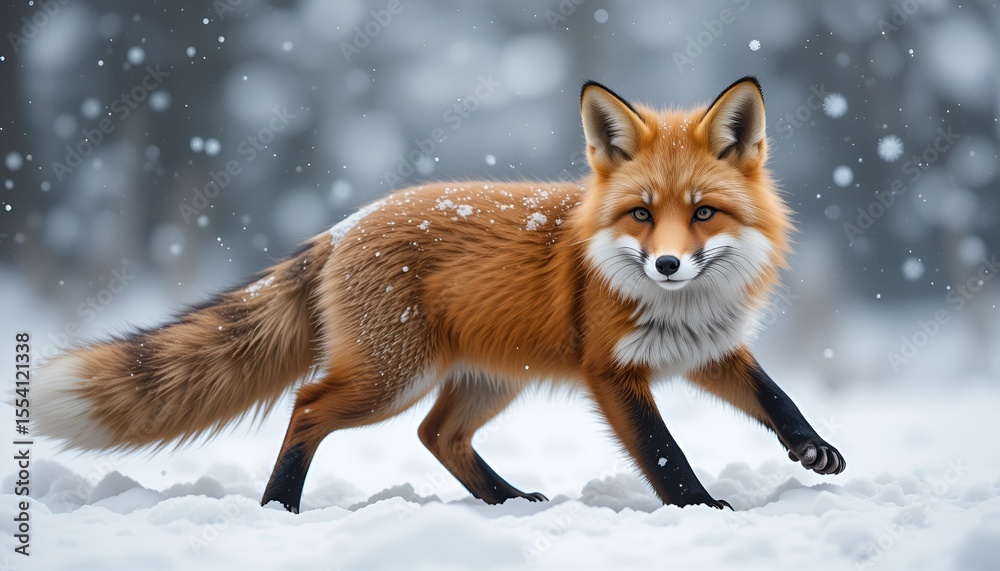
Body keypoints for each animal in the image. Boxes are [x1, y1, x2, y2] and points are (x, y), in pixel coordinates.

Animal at [33, 76, 844, 513]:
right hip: (391, 378)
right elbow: (663, 450)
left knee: (437, 435)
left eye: (703, 212)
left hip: (488, 379)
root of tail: (343, 223)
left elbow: (774, 395)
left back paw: (507, 500)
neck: (677, 305)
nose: (669, 265)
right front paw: (700, 509)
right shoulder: (612, 370)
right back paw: (279, 506)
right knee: (310, 405)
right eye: (641, 215)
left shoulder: (708, 345)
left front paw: (813, 448)